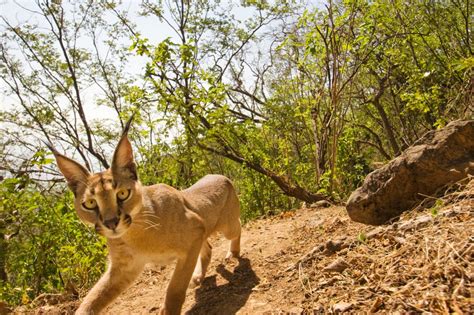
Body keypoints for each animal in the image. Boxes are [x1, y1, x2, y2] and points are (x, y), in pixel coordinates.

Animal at [49, 119, 241, 314]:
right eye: (90, 203)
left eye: (123, 194)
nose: (111, 223)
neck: (135, 233)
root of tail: (219, 174)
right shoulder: (124, 267)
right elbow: (91, 299)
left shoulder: (194, 232)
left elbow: (175, 288)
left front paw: (169, 310)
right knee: (208, 247)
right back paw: (198, 276)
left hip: (226, 227)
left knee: (237, 227)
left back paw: (233, 253)